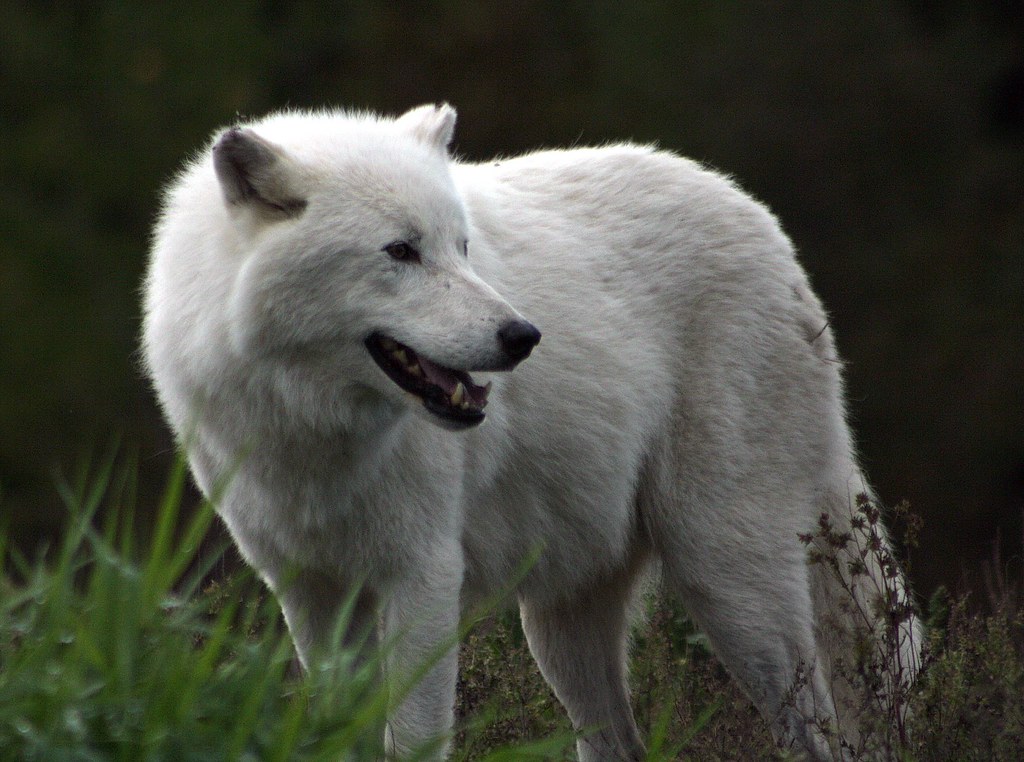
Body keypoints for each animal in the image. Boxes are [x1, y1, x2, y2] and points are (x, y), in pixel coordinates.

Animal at [142, 104, 920, 760]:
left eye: (461, 247)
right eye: (400, 251)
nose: (522, 336)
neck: (316, 433)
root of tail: (764, 224)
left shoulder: (423, 578)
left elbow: (414, 740)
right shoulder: (308, 593)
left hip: (730, 585)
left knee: (820, 732)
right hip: (560, 627)